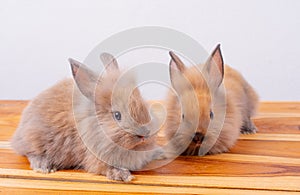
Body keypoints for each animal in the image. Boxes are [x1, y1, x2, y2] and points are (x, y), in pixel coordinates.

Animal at [11, 53, 161, 181]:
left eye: (144, 104)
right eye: (117, 115)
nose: (145, 134)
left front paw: (160, 152)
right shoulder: (95, 159)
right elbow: (105, 168)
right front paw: (123, 175)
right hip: (33, 138)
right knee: (30, 153)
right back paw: (44, 167)